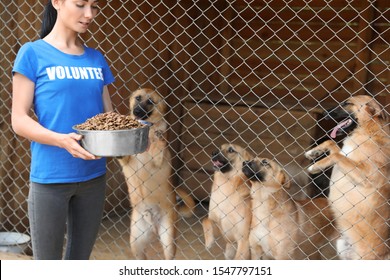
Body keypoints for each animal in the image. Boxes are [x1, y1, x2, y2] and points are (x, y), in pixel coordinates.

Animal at [116, 88, 194, 260]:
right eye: (138, 98)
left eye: (151, 101)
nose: (137, 112)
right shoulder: (126, 161)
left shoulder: (158, 161)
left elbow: (158, 145)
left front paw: (158, 136)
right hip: (136, 243)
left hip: (168, 240)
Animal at [304, 95, 390, 260]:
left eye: (348, 103)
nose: (323, 113)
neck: (367, 130)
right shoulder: (345, 154)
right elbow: (332, 144)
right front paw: (314, 153)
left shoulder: (366, 175)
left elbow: (337, 155)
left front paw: (316, 166)